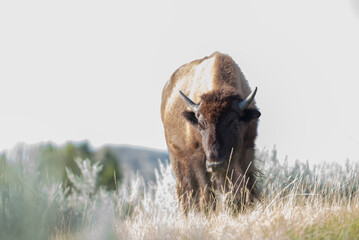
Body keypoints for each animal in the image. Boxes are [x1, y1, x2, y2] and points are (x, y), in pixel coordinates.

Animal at [161, 51, 262, 211]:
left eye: (235, 124)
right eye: (200, 126)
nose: (215, 164)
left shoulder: (246, 150)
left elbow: (245, 183)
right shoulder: (198, 157)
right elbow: (206, 190)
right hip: (176, 156)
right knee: (186, 189)